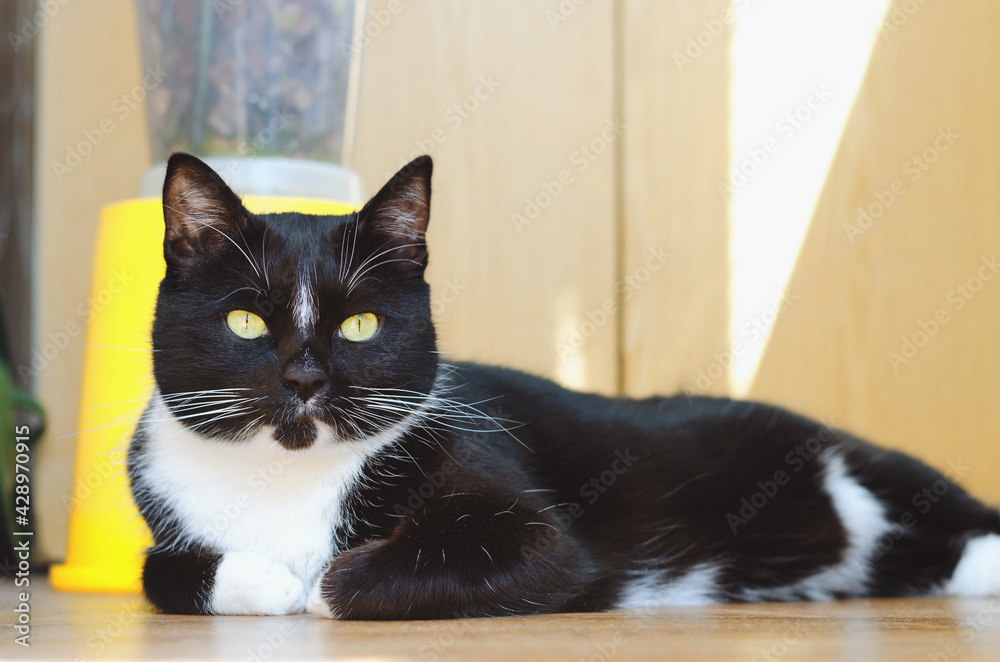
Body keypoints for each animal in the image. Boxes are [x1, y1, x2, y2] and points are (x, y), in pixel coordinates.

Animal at [127, 153, 1000, 620]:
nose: (305, 378)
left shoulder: (537, 532)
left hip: (858, 462)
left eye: (360, 326)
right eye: (247, 322)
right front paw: (266, 580)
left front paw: (318, 585)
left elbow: (530, 556)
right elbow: (156, 571)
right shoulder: (163, 516)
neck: (288, 478)